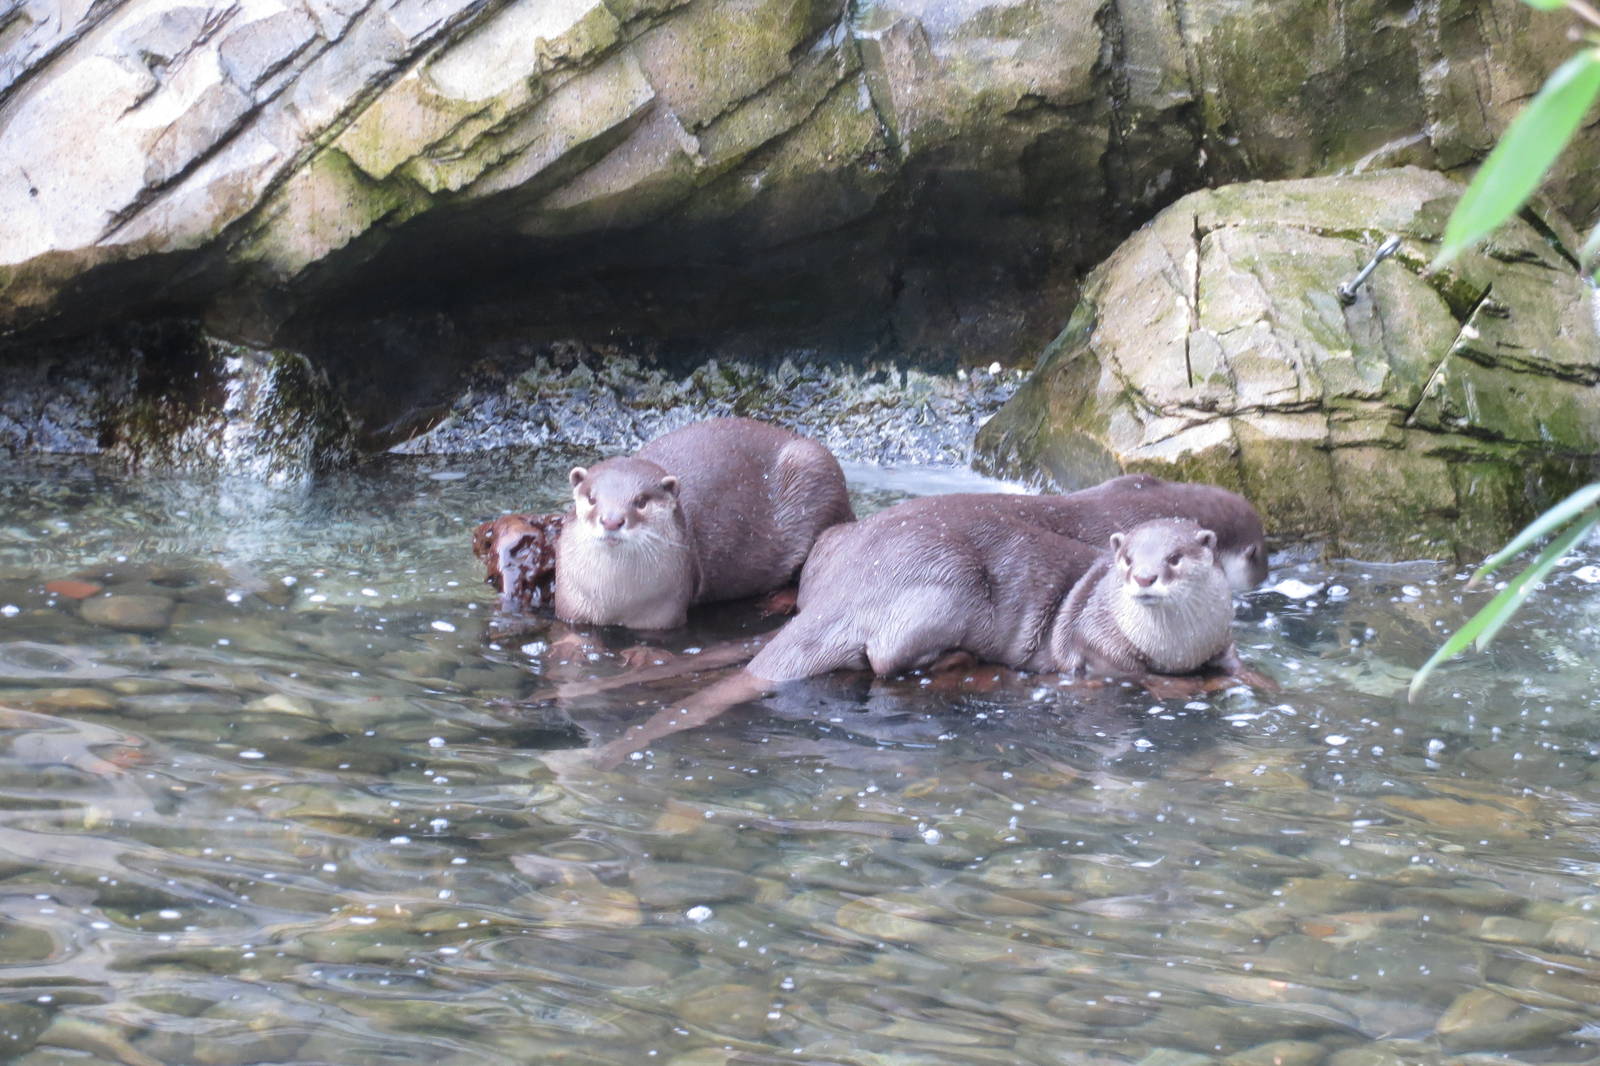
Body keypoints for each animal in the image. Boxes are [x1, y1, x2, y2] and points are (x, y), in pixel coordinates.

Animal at [554, 418, 854, 630]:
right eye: (592, 498)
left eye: (640, 501)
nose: (612, 520)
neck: (617, 599)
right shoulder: (571, 603)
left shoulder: (663, 611)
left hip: (816, 473)